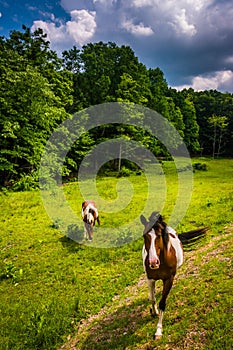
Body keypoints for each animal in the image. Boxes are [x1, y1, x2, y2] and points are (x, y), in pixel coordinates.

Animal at [140, 211, 208, 340]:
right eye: (144, 236)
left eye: (159, 235)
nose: (153, 262)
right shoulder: (150, 279)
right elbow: (152, 298)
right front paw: (154, 312)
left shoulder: (169, 279)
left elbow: (162, 303)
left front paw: (158, 331)